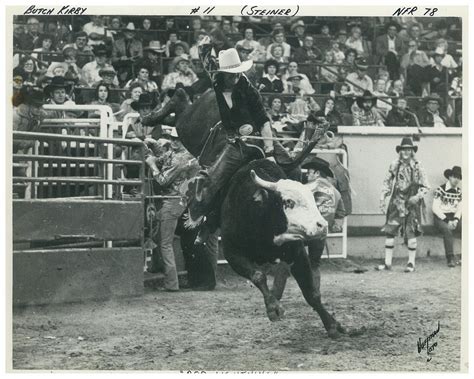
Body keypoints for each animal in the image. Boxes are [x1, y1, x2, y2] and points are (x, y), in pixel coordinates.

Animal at [143, 86, 346, 338]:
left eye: (311, 199)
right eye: (288, 202)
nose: (322, 226)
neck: (261, 213)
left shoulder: (297, 252)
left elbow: (311, 293)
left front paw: (332, 324)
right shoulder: (232, 252)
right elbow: (258, 276)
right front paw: (273, 308)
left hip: (190, 128)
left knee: (180, 108)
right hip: (189, 125)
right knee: (180, 102)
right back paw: (152, 117)